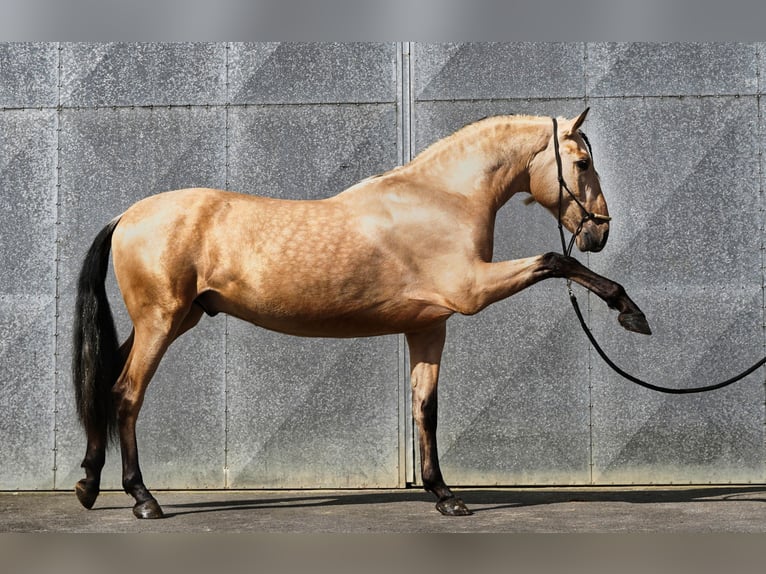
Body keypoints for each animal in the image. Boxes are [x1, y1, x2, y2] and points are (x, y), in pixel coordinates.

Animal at [72, 109, 652, 520]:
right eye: (582, 164)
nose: (600, 232)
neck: (443, 198)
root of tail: (127, 216)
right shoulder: (472, 290)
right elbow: (555, 260)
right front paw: (630, 312)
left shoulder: (429, 325)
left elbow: (425, 408)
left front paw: (444, 495)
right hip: (160, 322)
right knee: (126, 394)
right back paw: (142, 498)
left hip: (172, 320)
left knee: (104, 383)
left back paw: (87, 484)